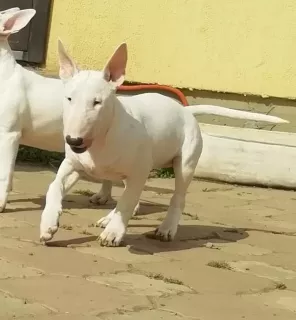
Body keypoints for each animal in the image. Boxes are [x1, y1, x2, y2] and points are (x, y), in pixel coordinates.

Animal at [39, 40, 290, 245]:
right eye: (69, 98)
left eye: (97, 102)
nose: (73, 139)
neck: (102, 139)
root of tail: (186, 110)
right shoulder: (73, 165)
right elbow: (53, 187)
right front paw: (48, 224)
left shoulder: (139, 170)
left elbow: (127, 202)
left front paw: (113, 233)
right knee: (133, 194)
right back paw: (109, 218)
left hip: (185, 163)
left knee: (175, 197)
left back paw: (166, 229)